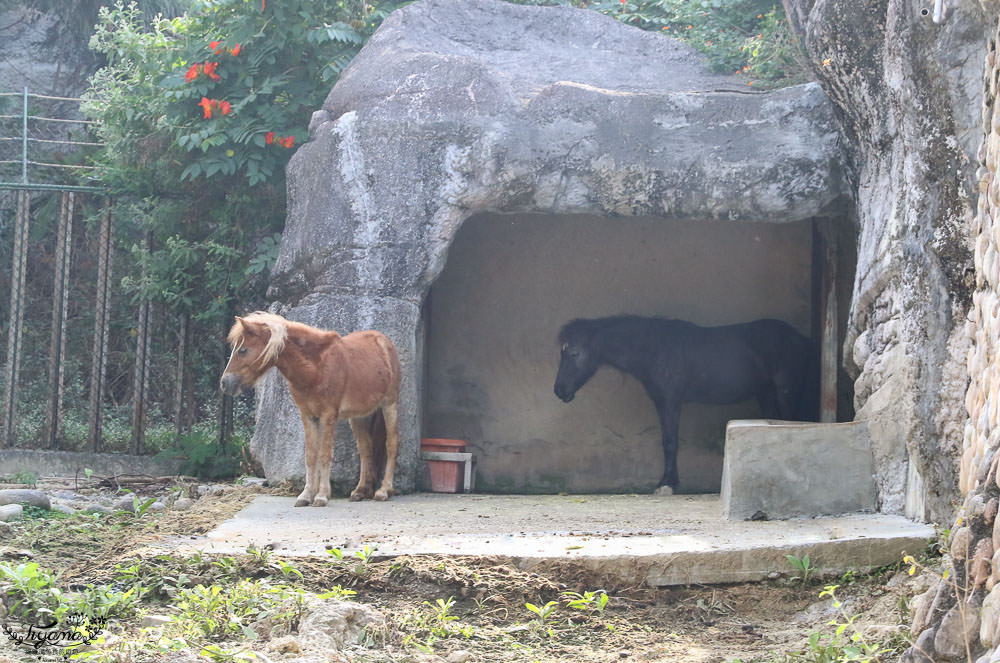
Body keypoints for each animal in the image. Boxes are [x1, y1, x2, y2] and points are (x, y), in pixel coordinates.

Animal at [221, 314, 400, 506]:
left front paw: (321, 496)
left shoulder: (328, 416)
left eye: (243, 350)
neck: (315, 368)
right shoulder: (308, 416)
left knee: (391, 444)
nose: (224, 383)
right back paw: (360, 491)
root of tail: (384, 341)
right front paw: (306, 495)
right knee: (366, 448)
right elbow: (311, 455)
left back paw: (384, 490)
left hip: (389, 405)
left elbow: (325, 454)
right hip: (360, 416)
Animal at [556, 316, 812, 492]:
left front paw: (667, 485)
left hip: (786, 391)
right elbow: (666, 441)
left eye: (574, 353)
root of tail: (799, 338)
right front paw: (666, 481)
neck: (654, 349)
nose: (559, 390)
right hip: (766, 394)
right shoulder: (661, 402)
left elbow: (671, 442)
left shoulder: (672, 402)